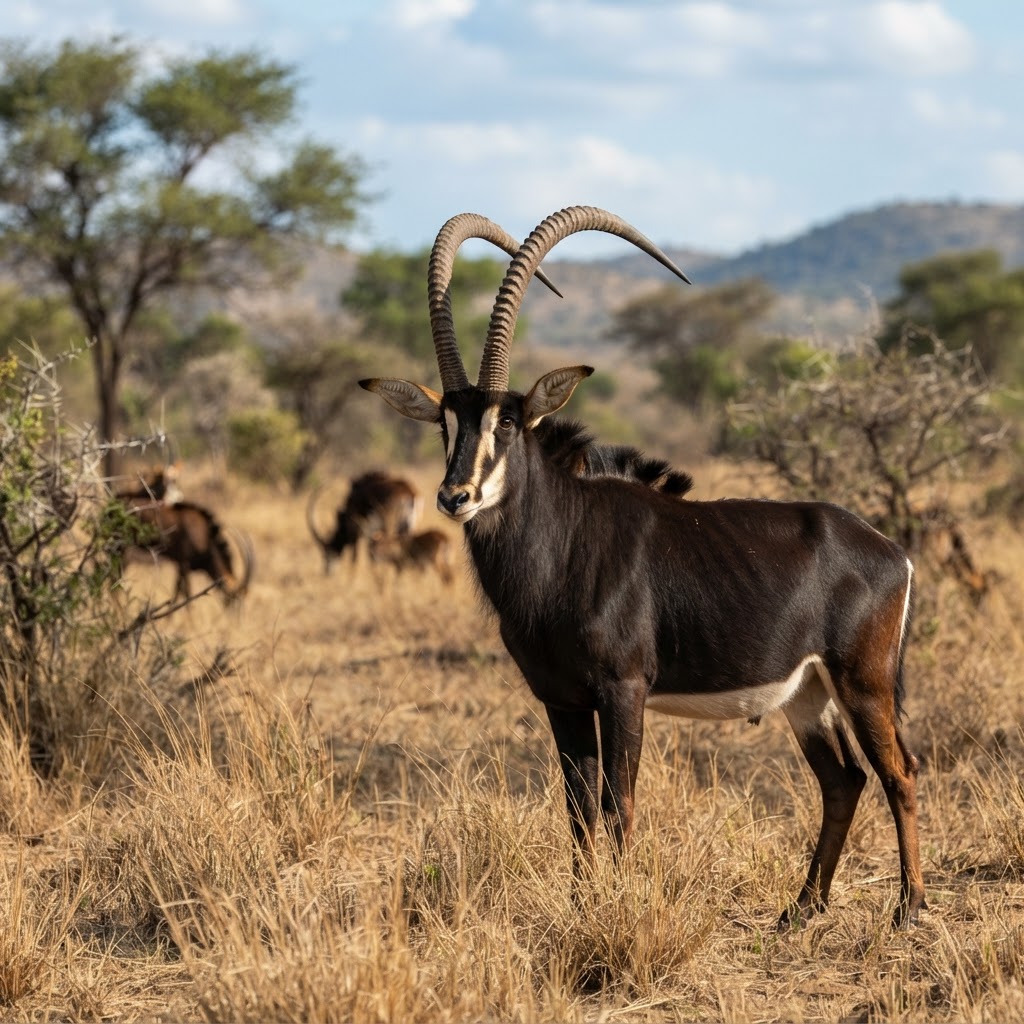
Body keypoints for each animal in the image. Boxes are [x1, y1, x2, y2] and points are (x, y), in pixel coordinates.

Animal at [360, 206, 926, 930]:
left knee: (898, 772)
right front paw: (582, 908)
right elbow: (577, 809)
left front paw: (618, 910)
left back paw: (909, 907)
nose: (455, 496)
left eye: (509, 423)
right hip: (806, 694)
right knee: (844, 779)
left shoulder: (623, 689)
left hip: (863, 683)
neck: (564, 545)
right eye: (443, 424)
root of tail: (890, 550)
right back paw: (801, 909)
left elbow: (617, 802)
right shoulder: (562, 698)